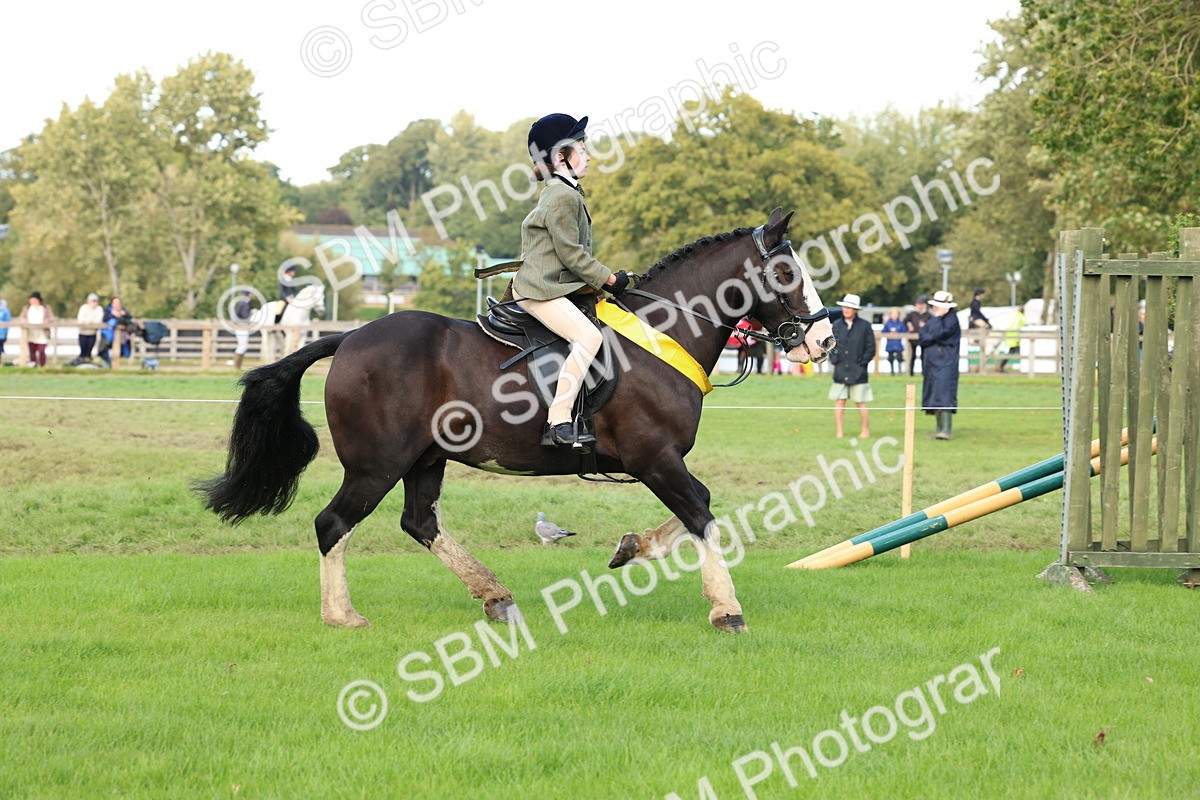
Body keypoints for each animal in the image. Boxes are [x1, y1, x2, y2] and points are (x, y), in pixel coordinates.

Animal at [196, 208, 835, 633]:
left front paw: (633, 546)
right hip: (376, 466)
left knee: (419, 522)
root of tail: (350, 337)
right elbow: (701, 511)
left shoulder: (656, 462)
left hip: (426, 460)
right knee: (333, 524)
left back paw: (494, 596)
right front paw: (727, 608)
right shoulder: (653, 457)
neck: (662, 332)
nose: (825, 341)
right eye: (786, 274)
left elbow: (694, 511)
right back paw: (342, 615)